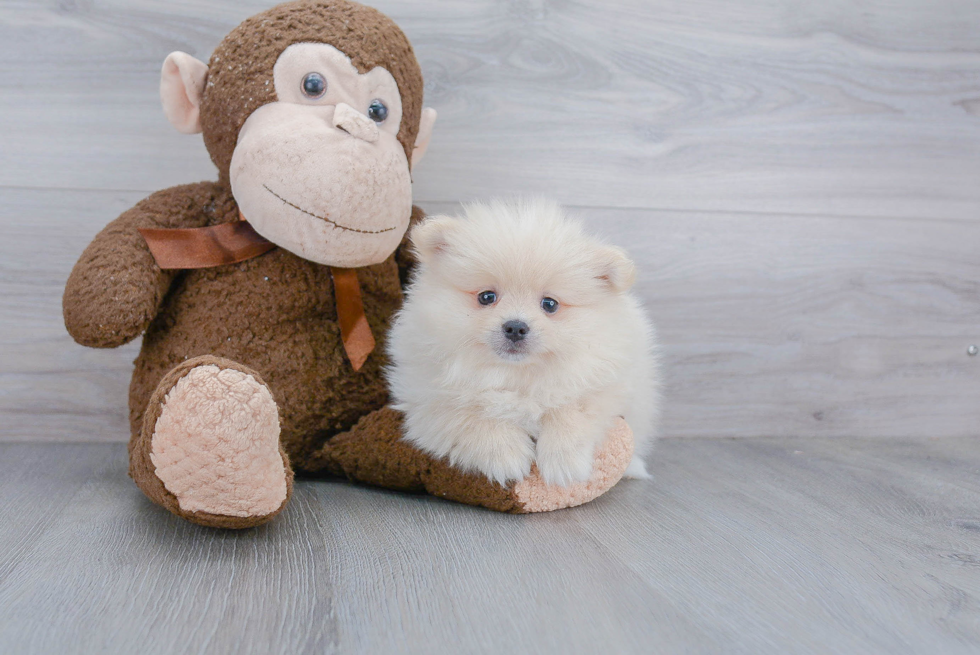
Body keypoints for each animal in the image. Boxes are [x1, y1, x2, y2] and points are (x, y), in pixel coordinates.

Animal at [386, 200, 664, 486]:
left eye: (549, 304)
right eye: (487, 297)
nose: (515, 327)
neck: (516, 375)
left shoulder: (607, 384)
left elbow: (572, 409)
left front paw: (564, 463)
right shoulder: (427, 397)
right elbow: (471, 414)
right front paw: (506, 456)